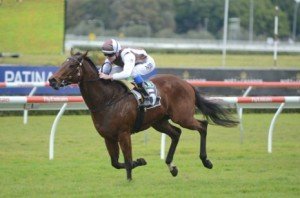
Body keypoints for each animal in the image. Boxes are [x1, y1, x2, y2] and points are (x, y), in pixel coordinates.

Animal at [48, 51, 238, 181]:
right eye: (63, 63)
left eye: (72, 66)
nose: (52, 80)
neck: (107, 101)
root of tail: (187, 83)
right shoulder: (108, 137)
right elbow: (116, 163)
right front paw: (140, 161)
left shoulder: (124, 133)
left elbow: (127, 158)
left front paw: (130, 178)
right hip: (159, 122)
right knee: (176, 133)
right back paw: (172, 166)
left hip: (182, 116)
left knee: (202, 126)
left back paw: (206, 161)